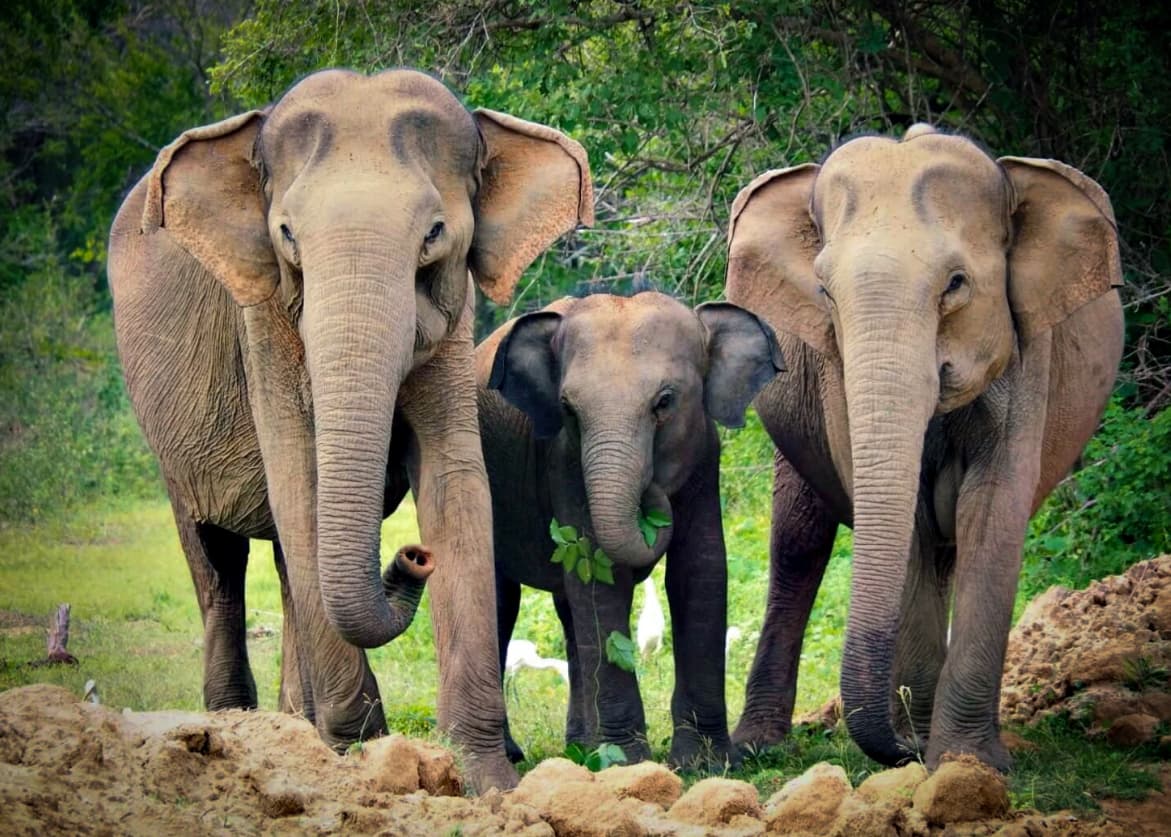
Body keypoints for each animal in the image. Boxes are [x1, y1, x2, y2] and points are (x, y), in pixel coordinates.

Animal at [107, 68, 593, 792]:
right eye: (286, 235)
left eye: (434, 233)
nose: (412, 556)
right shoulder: (263, 321)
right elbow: (298, 475)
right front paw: (361, 754)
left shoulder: (454, 320)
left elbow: (455, 477)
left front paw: (487, 780)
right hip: (169, 441)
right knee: (217, 561)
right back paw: (234, 728)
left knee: (284, 565)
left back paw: (294, 726)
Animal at [475, 291, 785, 768]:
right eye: (568, 409)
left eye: (665, 402)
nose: (653, 493)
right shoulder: (564, 462)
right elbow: (600, 576)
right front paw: (627, 762)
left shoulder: (704, 454)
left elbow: (700, 570)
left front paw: (706, 763)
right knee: (502, 598)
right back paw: (521, 754)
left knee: (568, 613)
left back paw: (582, 747)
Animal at [724, 124, 1123, 771]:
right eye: (824, 291)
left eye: (956, 284)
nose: (904, 747)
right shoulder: (836, 374)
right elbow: (906, 520)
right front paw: (930, 751)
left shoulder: (1028, 353)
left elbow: (992, 509)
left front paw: (966, 762)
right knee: (799, 544)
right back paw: (760, 747)